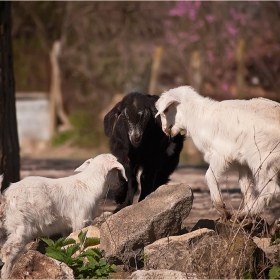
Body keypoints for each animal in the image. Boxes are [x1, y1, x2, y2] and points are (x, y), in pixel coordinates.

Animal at [156, 86, 280, 230]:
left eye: (166, 110)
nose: (164, 130)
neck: (199, 118)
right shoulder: (241, 162)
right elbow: (246, 186)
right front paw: (248, 221)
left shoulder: (221, 154)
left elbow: (210, 176)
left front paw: (223, 211)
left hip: (262, 156)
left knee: (272, 190)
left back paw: (241, 214)